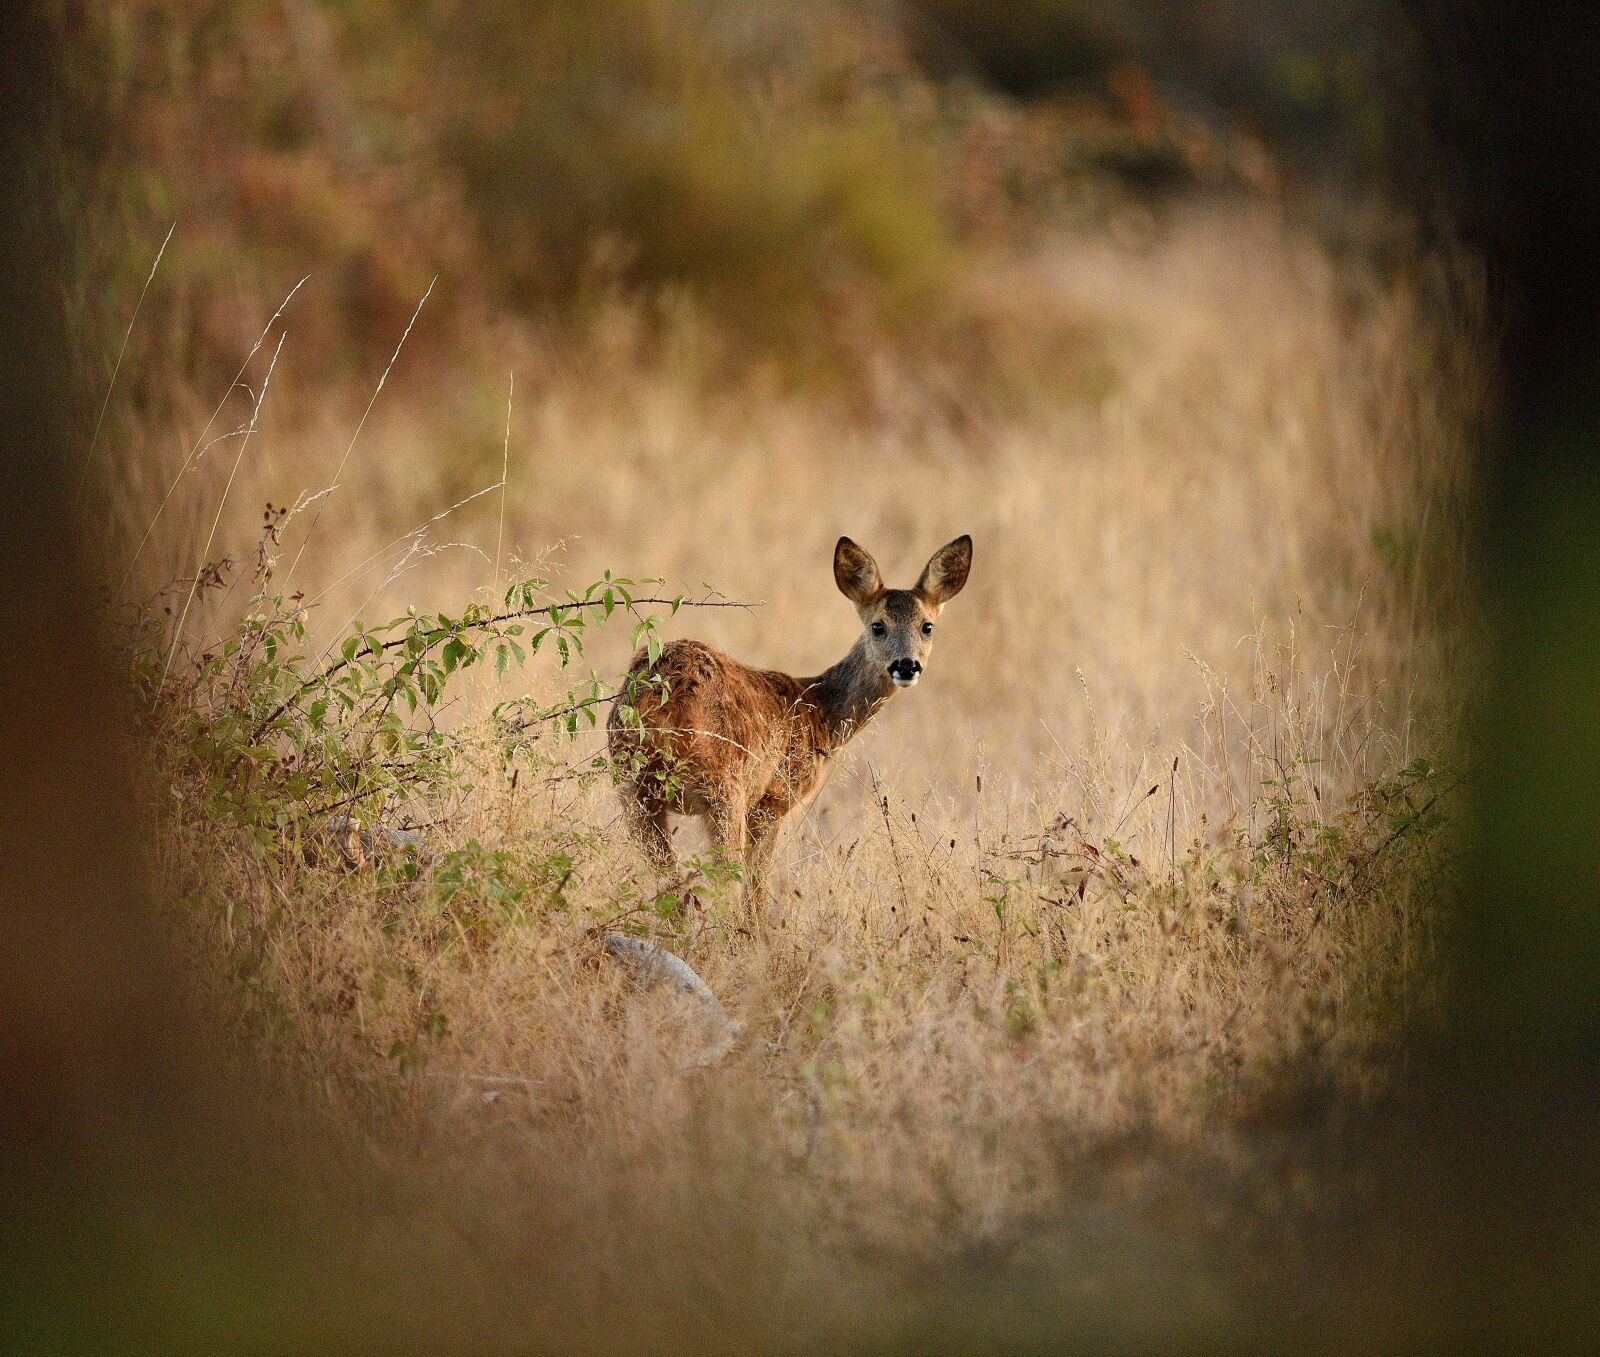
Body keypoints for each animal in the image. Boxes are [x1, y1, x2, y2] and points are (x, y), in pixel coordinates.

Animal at [606, 534, 972, 917]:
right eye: (878, 625)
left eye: (927, 626)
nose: (907, 665)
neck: (818, 713)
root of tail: (657, 700)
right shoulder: (774, 799)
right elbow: (755, 891)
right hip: (724, 787)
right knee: (723, 885)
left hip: (632, 786)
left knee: (667, 883)